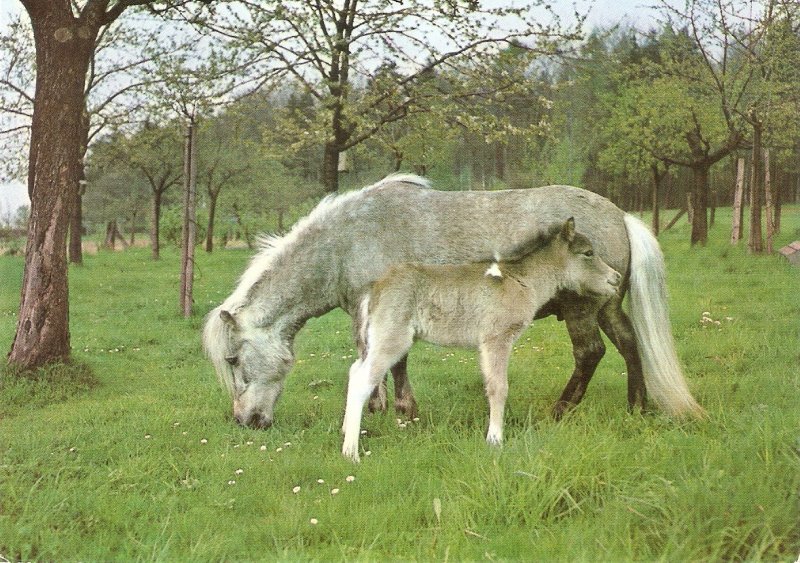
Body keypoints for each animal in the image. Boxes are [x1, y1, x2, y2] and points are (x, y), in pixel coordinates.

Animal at [340, 218, 620, 460]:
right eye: (588, 253)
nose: (616, 278)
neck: (521, 281)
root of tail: (376, 286)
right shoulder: (497, 338)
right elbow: (499, 387)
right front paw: (495, 440)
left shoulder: (486, 345)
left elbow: (488, 384)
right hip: (392, 339)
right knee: (363, 380)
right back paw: (351, 453)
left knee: (354, 370)